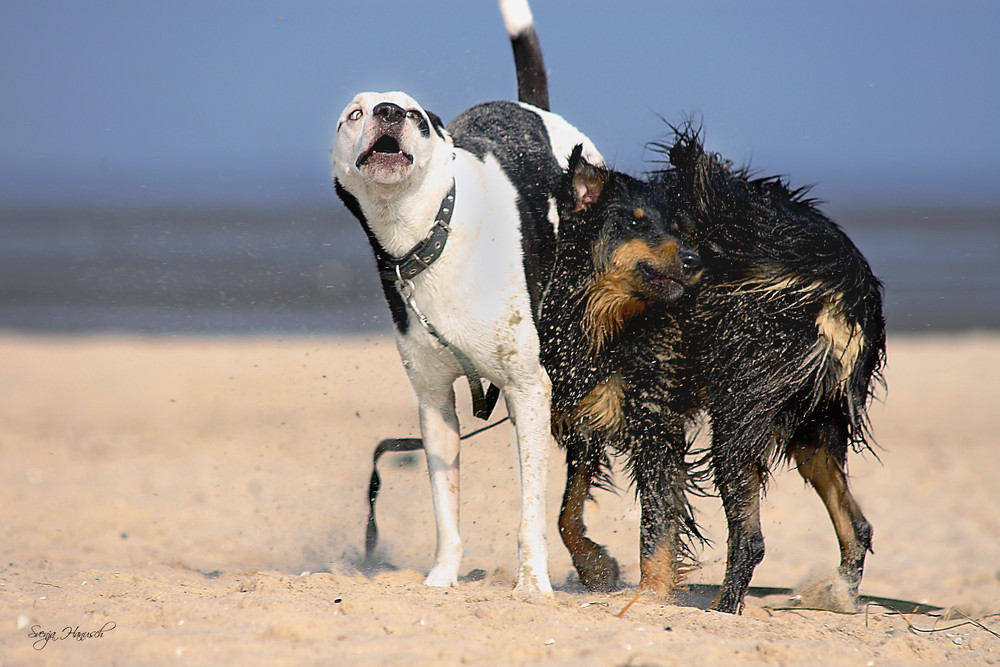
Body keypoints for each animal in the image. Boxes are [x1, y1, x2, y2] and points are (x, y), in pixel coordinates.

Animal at [330, 88, 600, 596]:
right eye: (354, 114)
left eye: (414, 115)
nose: (388, 113)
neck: (430, 236)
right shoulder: (434, 404)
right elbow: (445, 507)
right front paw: (441, 577)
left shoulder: (529, 390)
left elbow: (530, 512)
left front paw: (532, 585)